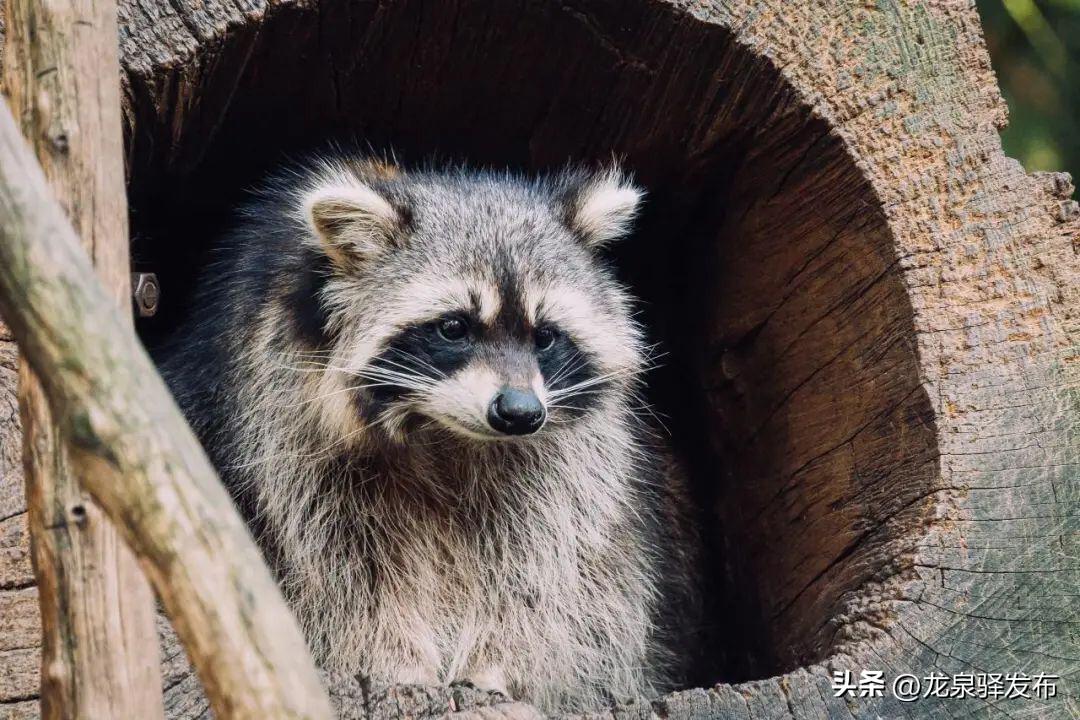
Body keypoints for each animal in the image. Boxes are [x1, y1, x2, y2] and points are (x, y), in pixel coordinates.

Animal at [157, 157, 699, 716]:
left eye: (545, 336)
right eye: (453, 328)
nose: (520, 412)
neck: (443, 434)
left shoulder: (571, 469)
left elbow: (545, 574)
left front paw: (495, 664)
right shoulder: (278, 430)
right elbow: (343, 572)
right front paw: (394, 662)